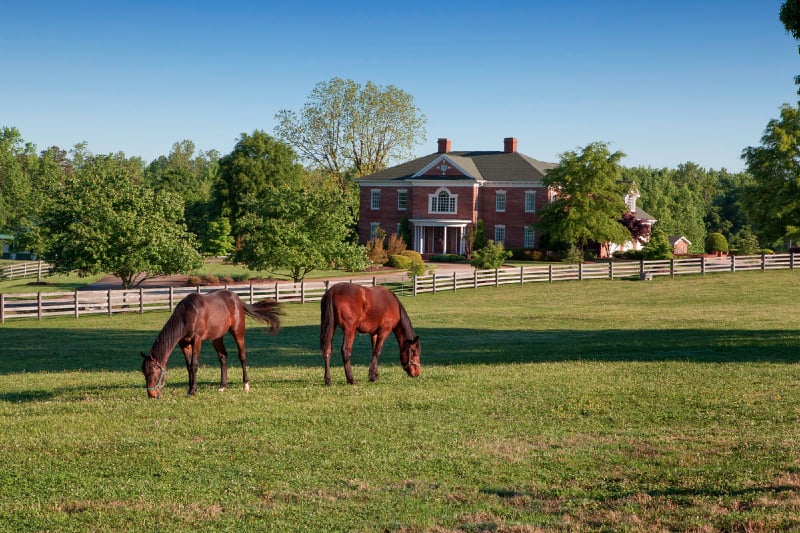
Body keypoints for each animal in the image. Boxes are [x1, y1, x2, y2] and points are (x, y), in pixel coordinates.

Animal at [141, 288, 282, 396]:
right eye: (144, 372)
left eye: (152, 372)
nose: (151, 394)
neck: (188, 315)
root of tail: (237, 299)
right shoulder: (184, 344)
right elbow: (188, 366)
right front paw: (191, 388)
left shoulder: (197, 340)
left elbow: (194, 364)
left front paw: (192, 391)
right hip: (217, 338)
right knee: (223, 357)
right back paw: (222, 386)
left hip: (238, 333)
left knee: (242, 356)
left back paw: (246, 385)